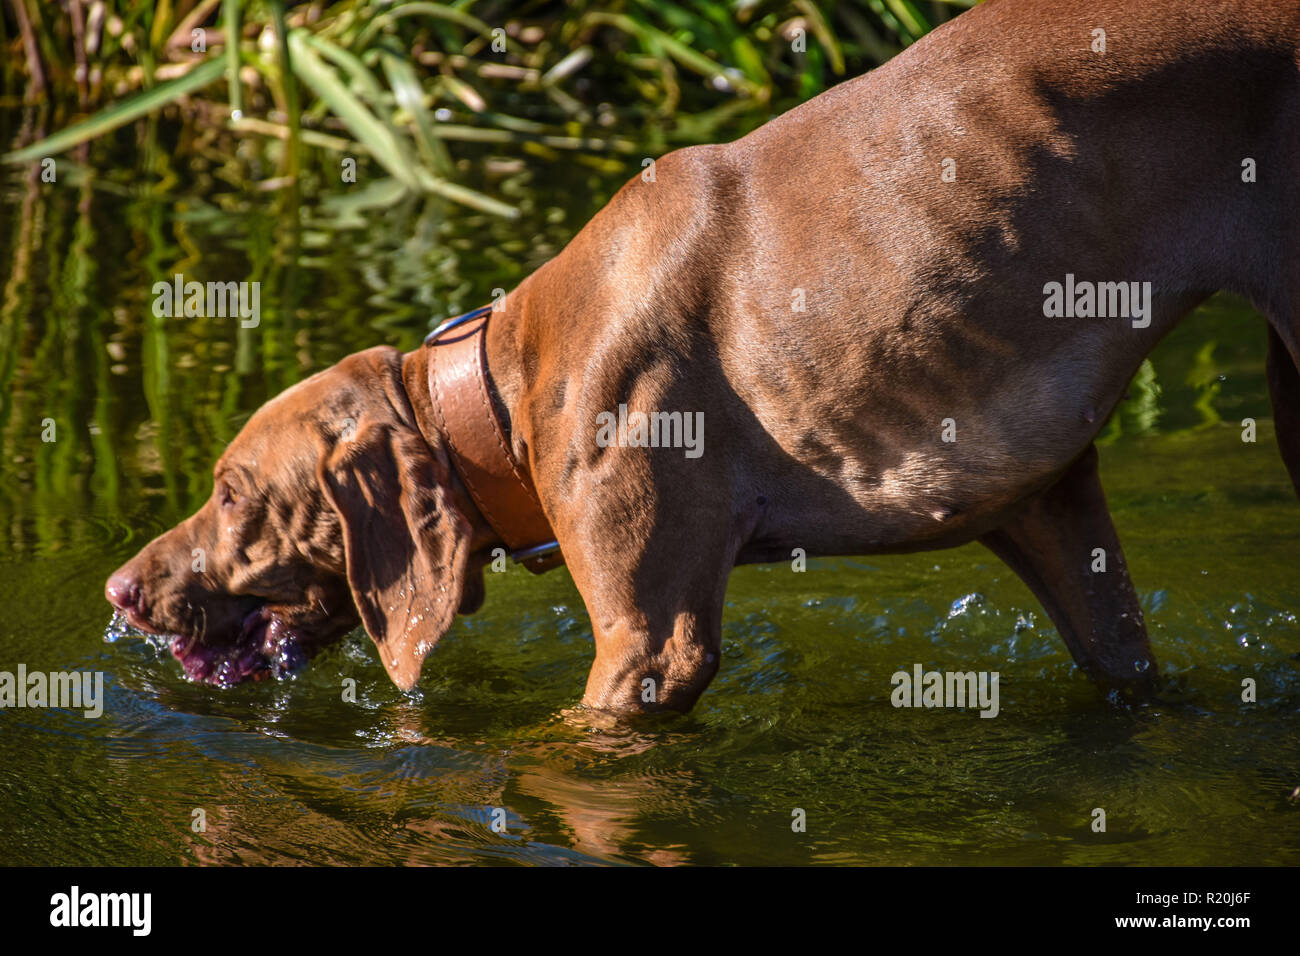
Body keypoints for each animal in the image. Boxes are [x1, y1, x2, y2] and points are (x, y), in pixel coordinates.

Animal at [106, 0, 1300, 712]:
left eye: (231, 491)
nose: (121, 588)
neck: (500, 382)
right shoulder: (1045, 504)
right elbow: (1126, 658)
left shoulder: (653, 640)